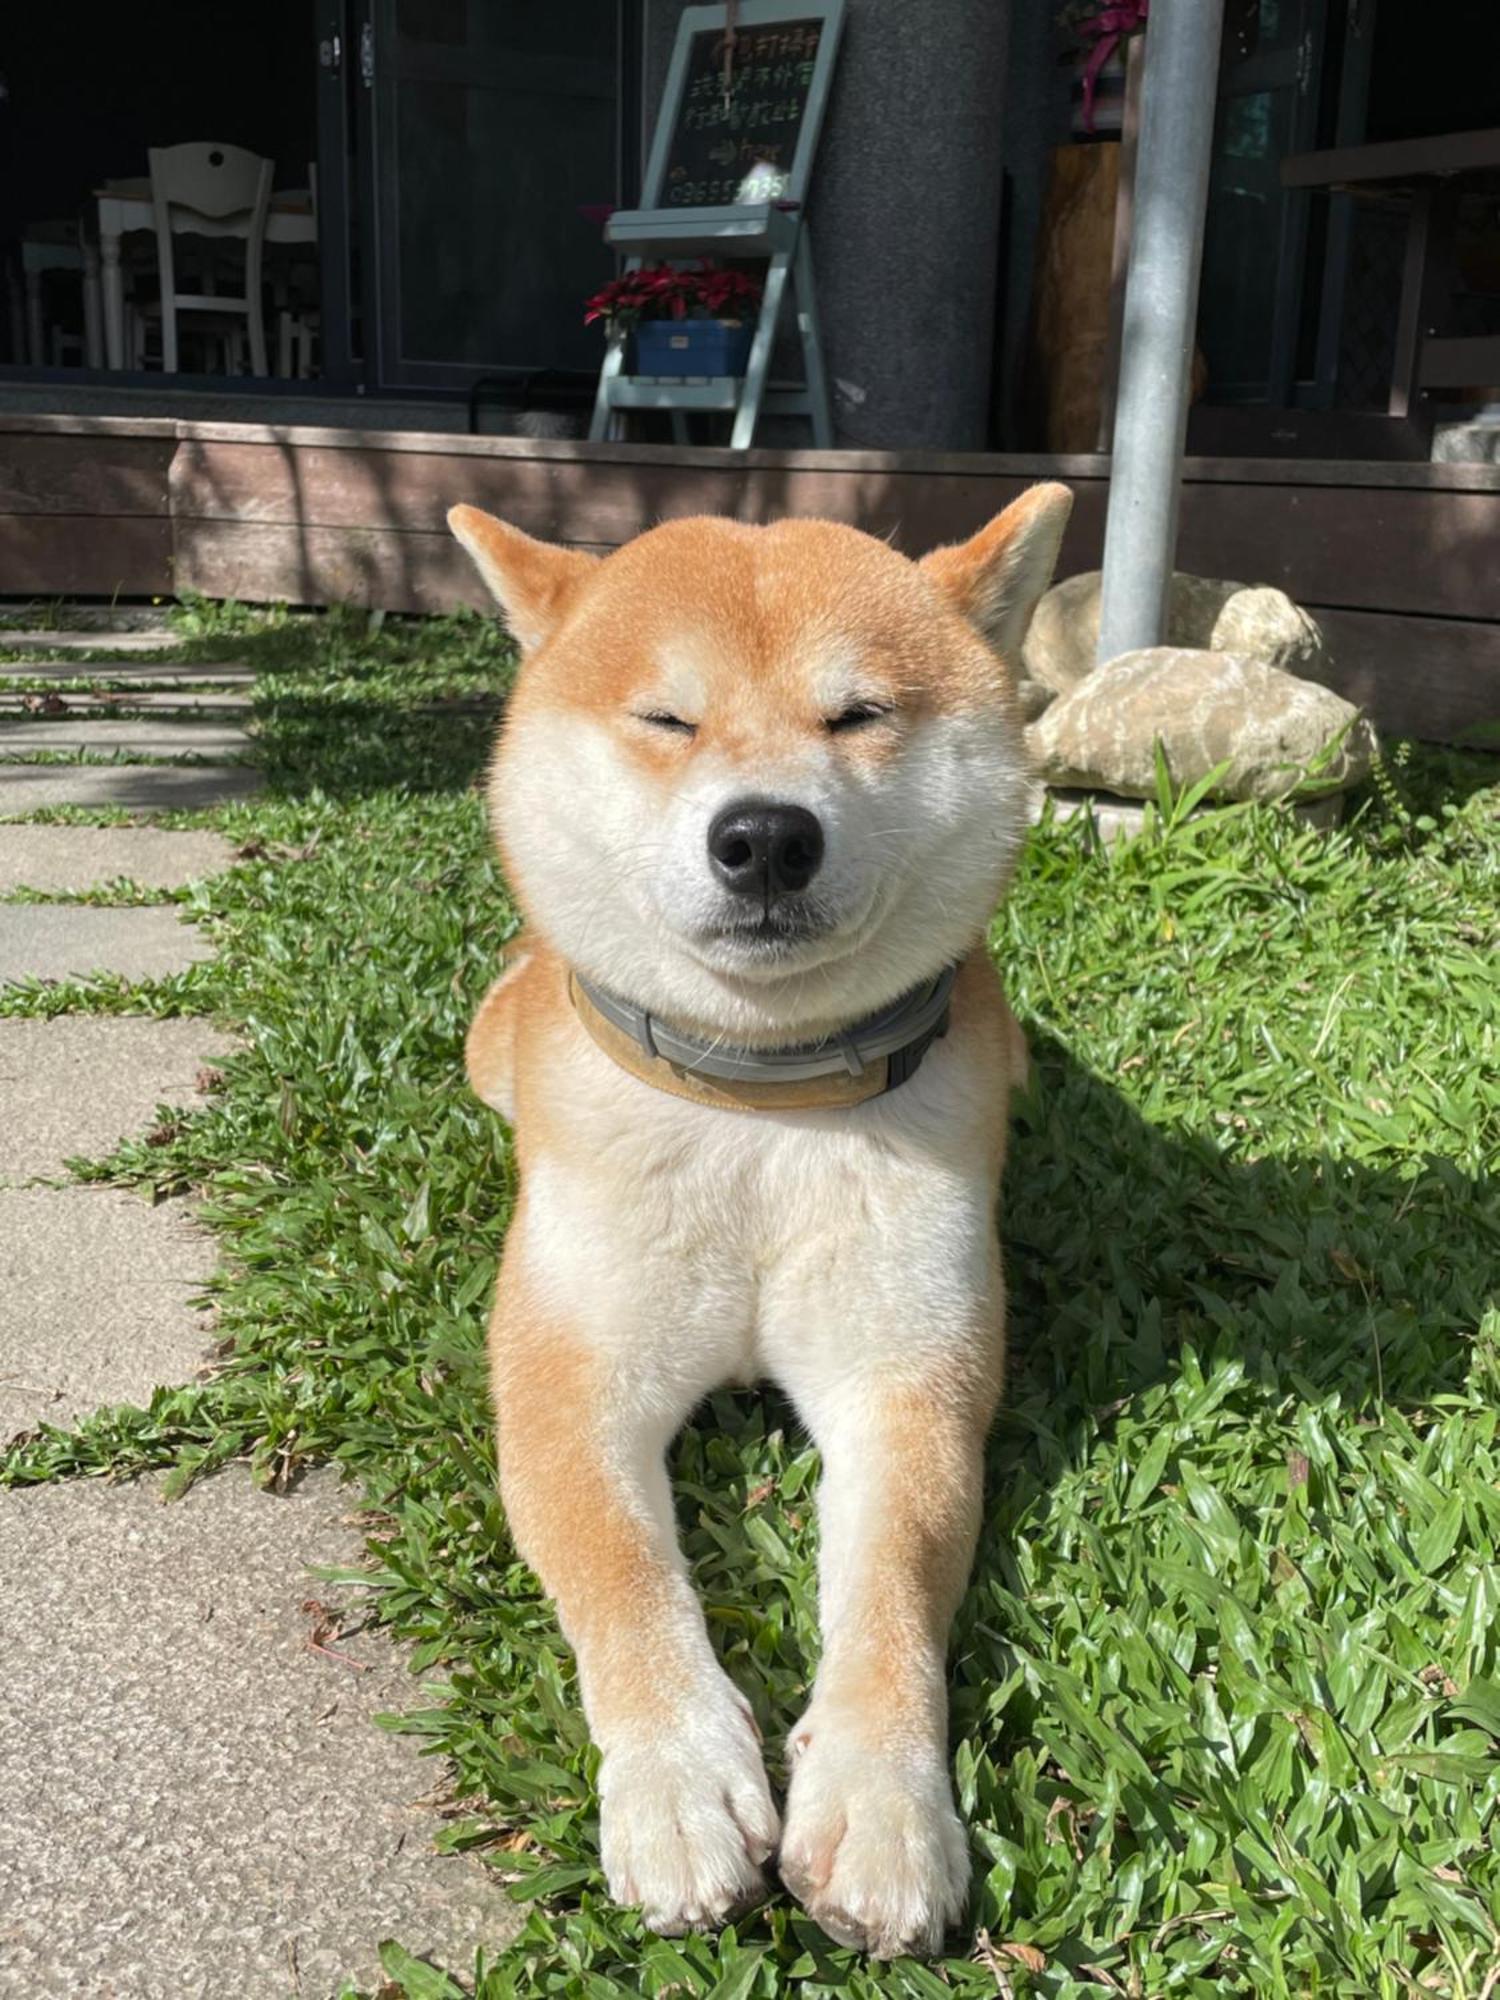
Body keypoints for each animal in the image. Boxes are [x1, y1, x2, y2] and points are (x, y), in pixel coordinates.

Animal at [452, 484, 1072, 1952]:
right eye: (667, 718)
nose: (768, 834)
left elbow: (894, 1581)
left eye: (858, 715)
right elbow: (622, 1567)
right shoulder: (568, 1376)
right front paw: (677, 1781)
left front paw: (884, 1805)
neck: (759, 1108)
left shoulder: (907, 1375)